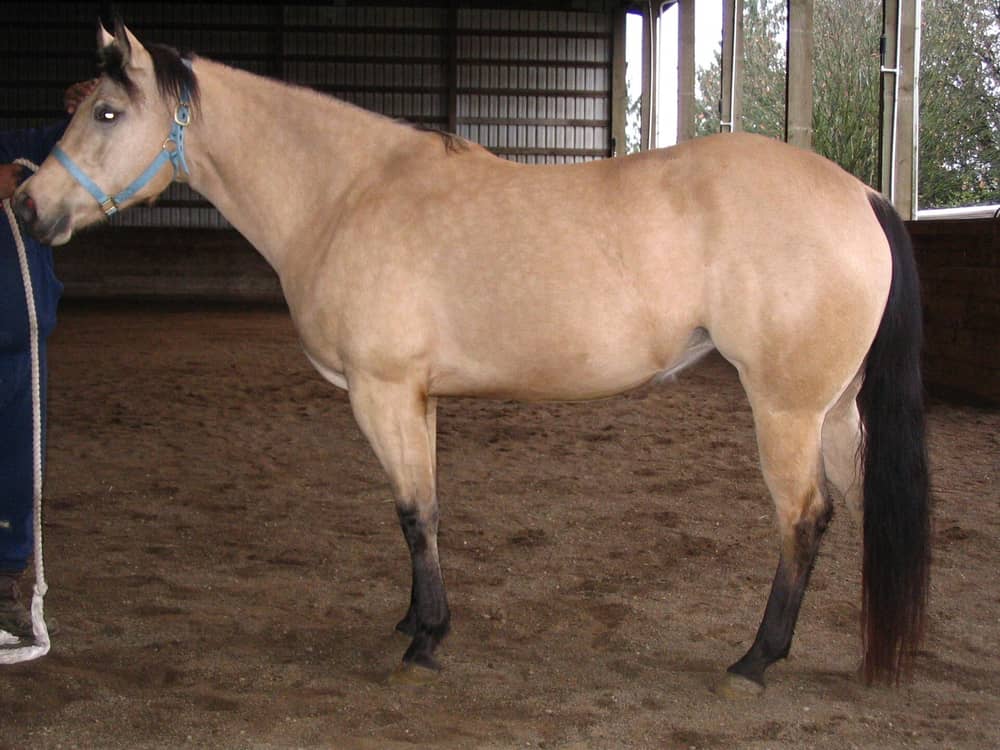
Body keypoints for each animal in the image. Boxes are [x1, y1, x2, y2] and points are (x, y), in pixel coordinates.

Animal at [15, 22, 930, 696]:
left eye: (104, 113)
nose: (26, 205)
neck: (345, 194)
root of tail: (860, 193)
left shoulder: (382, 392)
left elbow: (414, 512)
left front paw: (425, 642)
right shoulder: (416, 398)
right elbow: (425, 508)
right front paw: (413, 619)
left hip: (786, 408)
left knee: (803, 518)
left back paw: (755, 659)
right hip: (834, 409)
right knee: (848, 511)